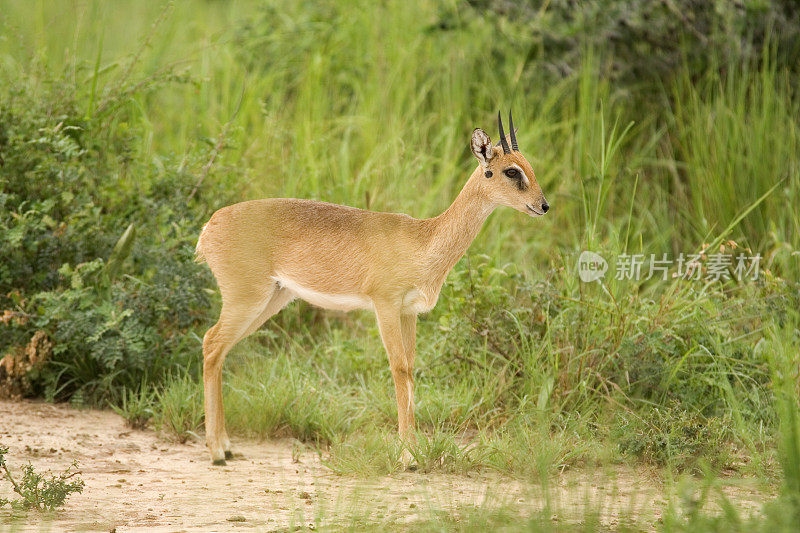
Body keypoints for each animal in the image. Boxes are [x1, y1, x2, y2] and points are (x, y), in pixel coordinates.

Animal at [198, 113, 552, 466]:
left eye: (528, 165)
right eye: (511, 170)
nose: (543, 205)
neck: (424, 240)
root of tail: (210, 225)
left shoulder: (409, 313)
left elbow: (410, 370)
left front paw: (415, 451)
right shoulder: (386, 306)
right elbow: (398, 368)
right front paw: (408, 457)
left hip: (271, 300)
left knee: (217, 349)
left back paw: (226, 446)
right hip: (247, 299)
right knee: (212, 342)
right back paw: (216, 452)